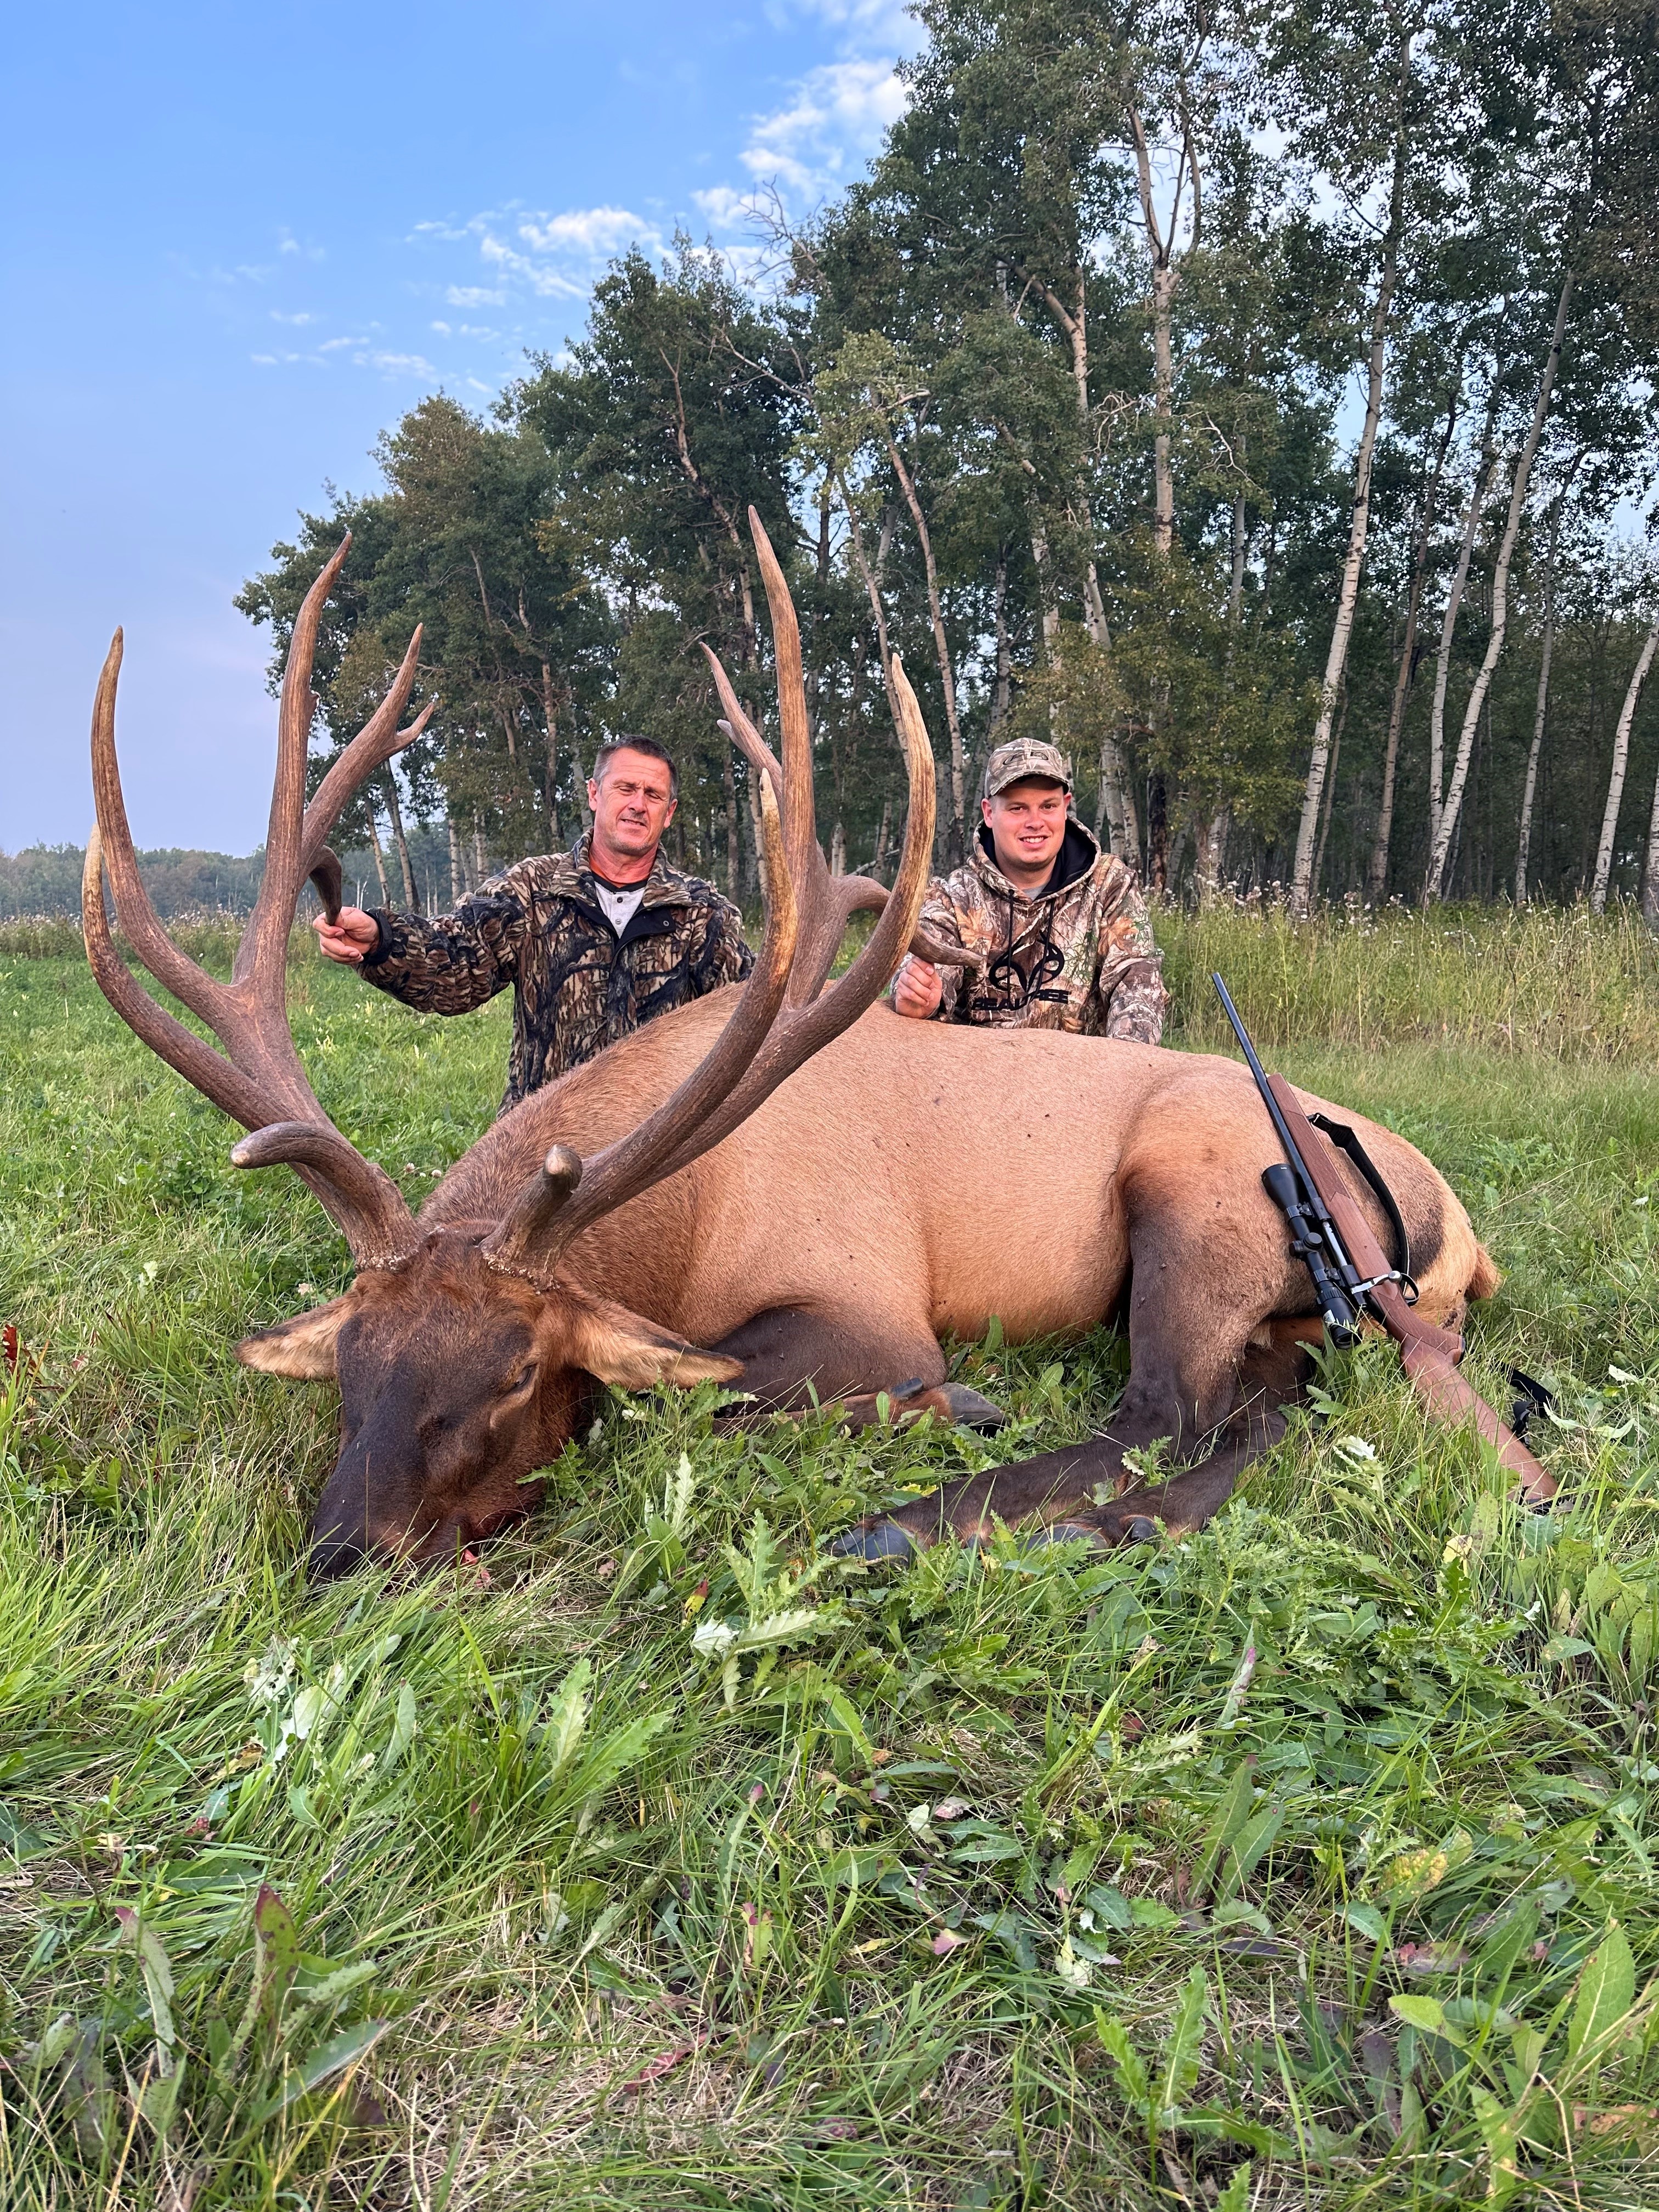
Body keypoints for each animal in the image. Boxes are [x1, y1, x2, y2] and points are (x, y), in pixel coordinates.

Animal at [83, 514, 1526, 1583]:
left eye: (516, 1371)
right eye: (351, 1366)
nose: (344, 1555)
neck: (686, 1223)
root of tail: (1462, 1227)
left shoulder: (864, 1302)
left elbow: (700, 1398)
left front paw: (952, 1405)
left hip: (1197, 1188)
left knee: (1168, 1407)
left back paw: (928, 1520)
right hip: (1283, 1303)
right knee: (1275, 1403)